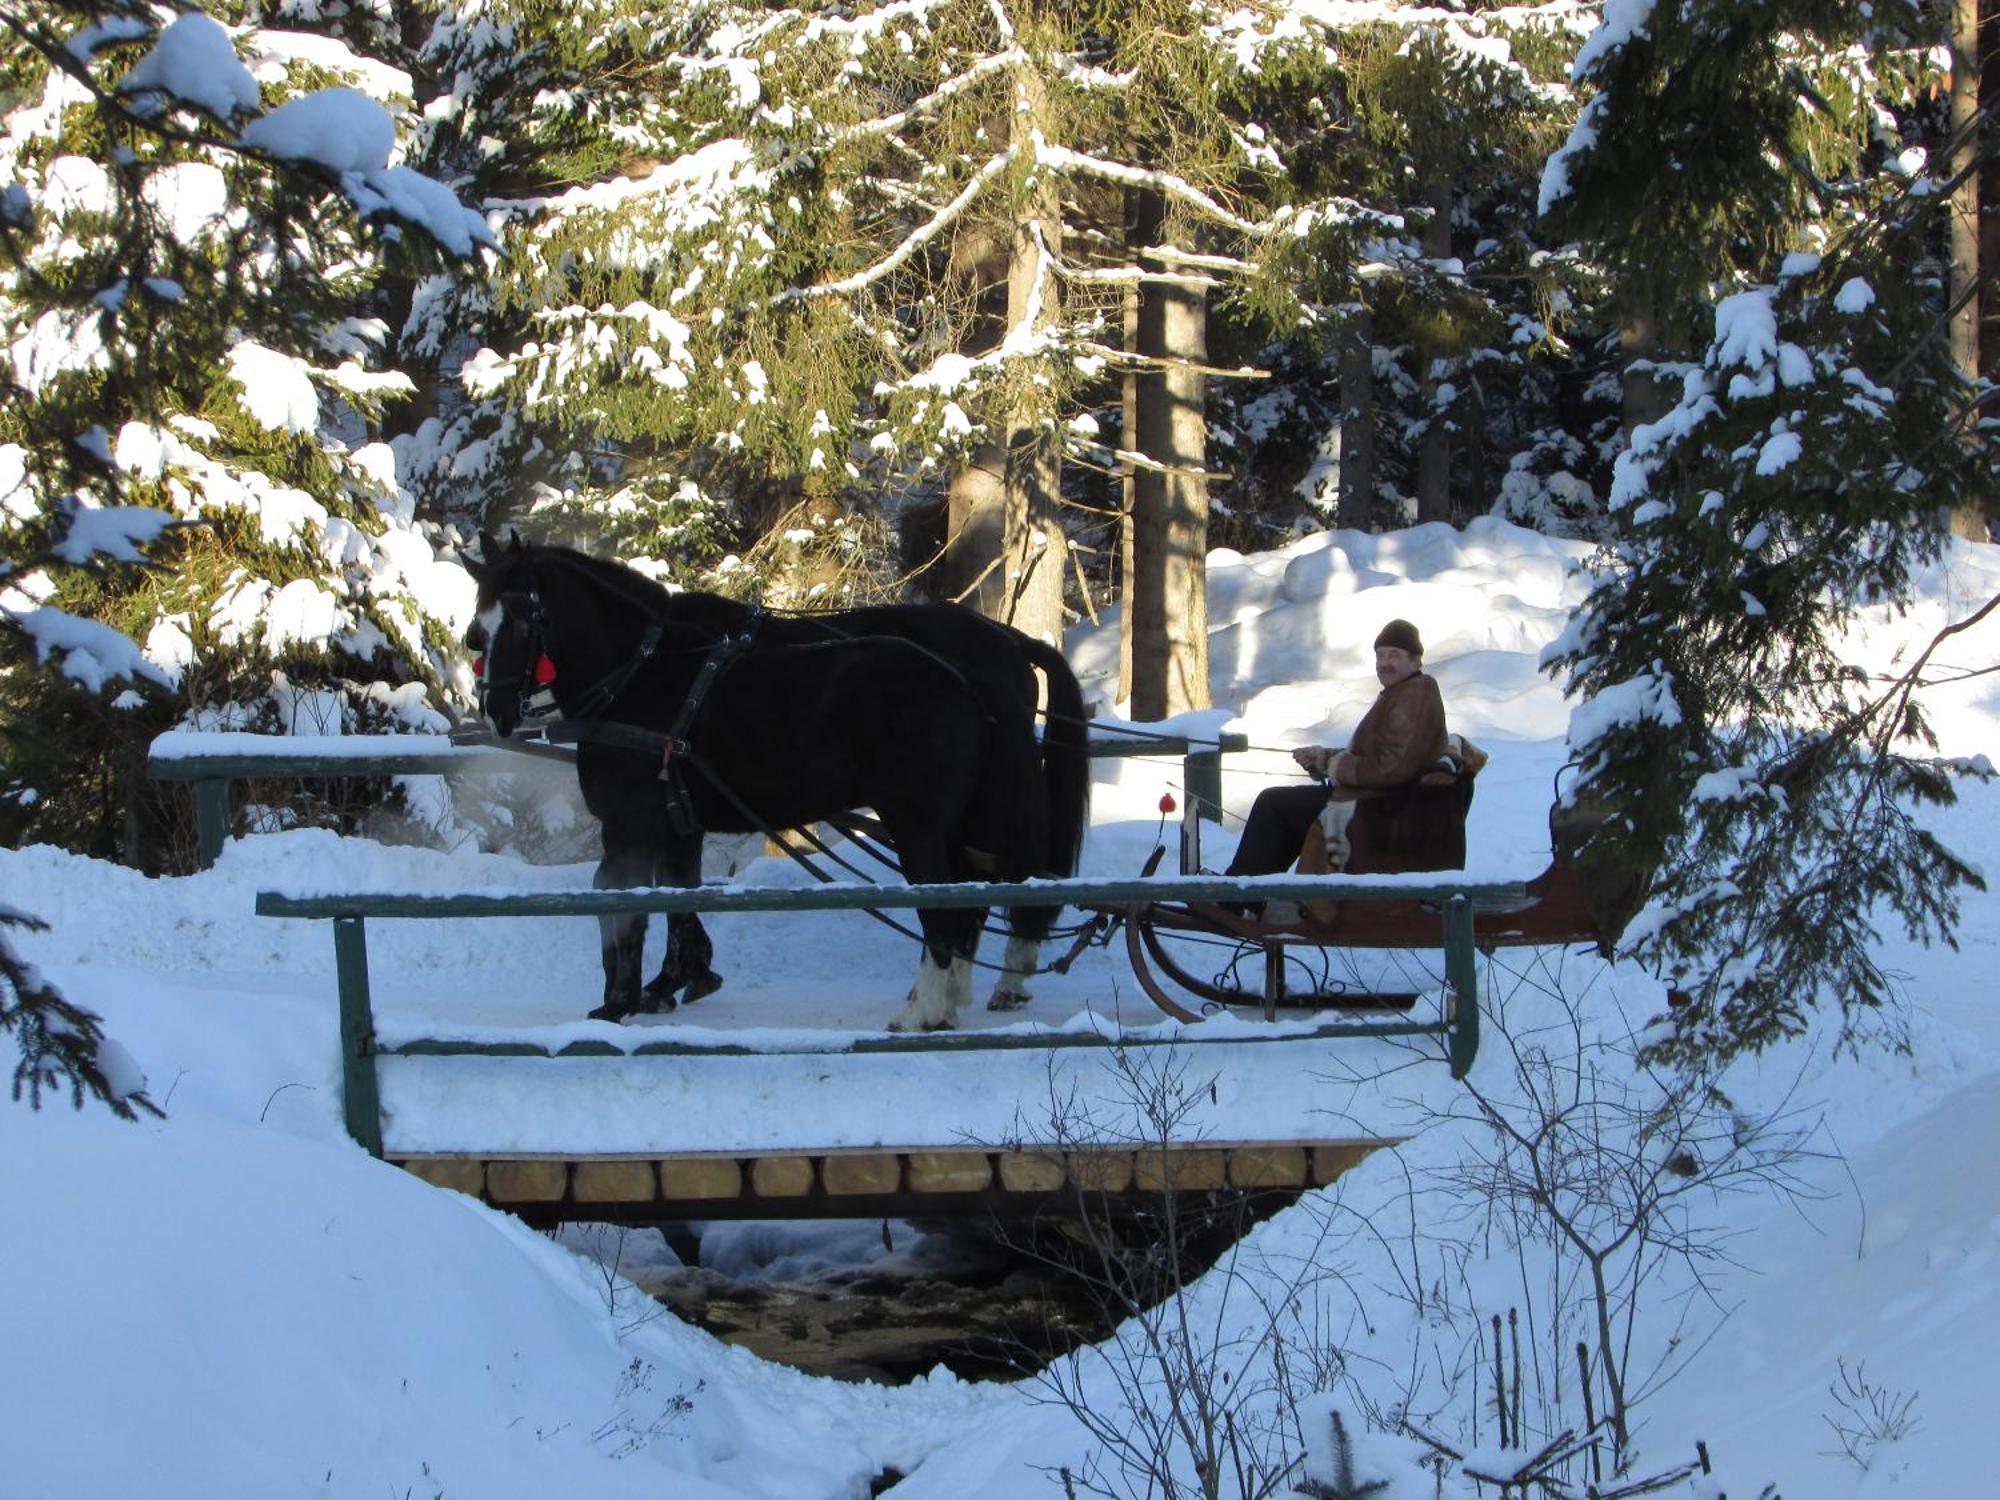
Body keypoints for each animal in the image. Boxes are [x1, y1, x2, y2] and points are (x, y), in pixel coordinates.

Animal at [464, 536, 1096, 1032]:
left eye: (525, 618)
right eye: (478, 630)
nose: (496, 709)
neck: (644, 674)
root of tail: (977, 669)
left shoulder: (629, 825)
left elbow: (620, 903)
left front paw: (618, 1002)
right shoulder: (678, 823)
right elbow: (678, 896)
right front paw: (680, 978)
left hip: (919, 824)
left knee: (948, 906)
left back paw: (929, 1009)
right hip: (960, 818)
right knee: (971, 896)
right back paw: (954, 996)